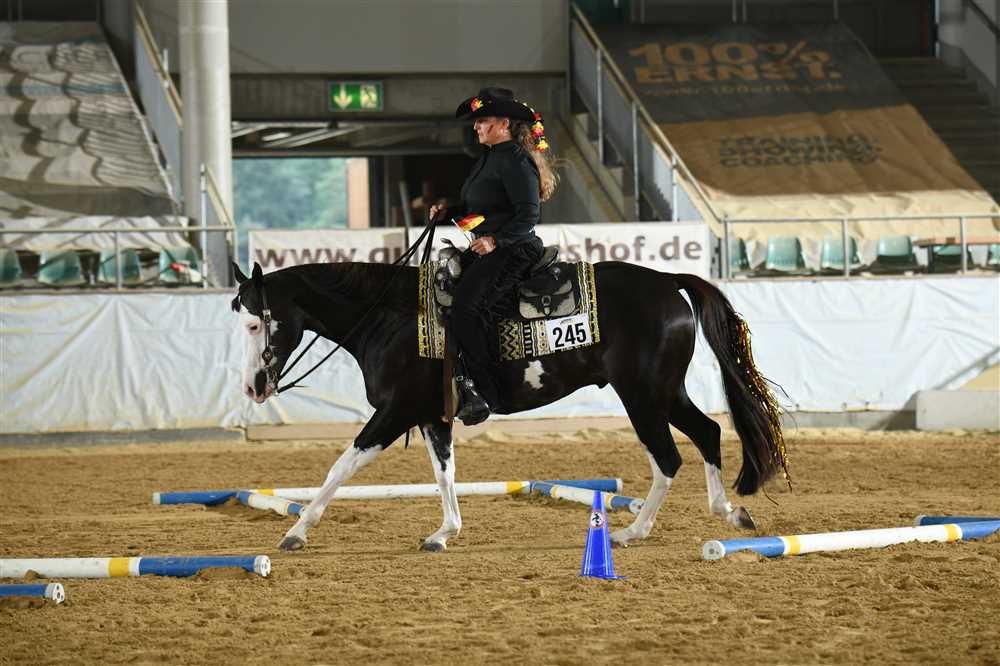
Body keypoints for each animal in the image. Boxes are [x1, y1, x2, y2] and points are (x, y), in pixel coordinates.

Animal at [231, 259, 787, 552]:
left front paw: (296, 531)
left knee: (668, 457)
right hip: (665, 392)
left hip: (642, 395)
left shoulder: (393, 413)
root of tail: (666, 280)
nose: (253, 387)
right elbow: (445, 474)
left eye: (256, 322)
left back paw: (632, 530)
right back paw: (729, 512)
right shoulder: (432, 417)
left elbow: (340, 466)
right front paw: (444, 532)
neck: (390, 318)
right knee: (708, 433)